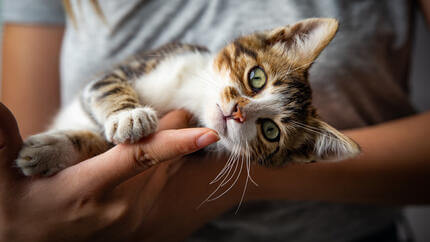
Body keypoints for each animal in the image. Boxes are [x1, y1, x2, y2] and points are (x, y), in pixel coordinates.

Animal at [15, 18, 360, 177]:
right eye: (256, 78)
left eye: (271, 131)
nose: (237, 112)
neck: (191, 94)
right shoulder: (134, 66)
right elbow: (106, 86)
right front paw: (128, 115)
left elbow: (99, 142)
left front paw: (50, 151)